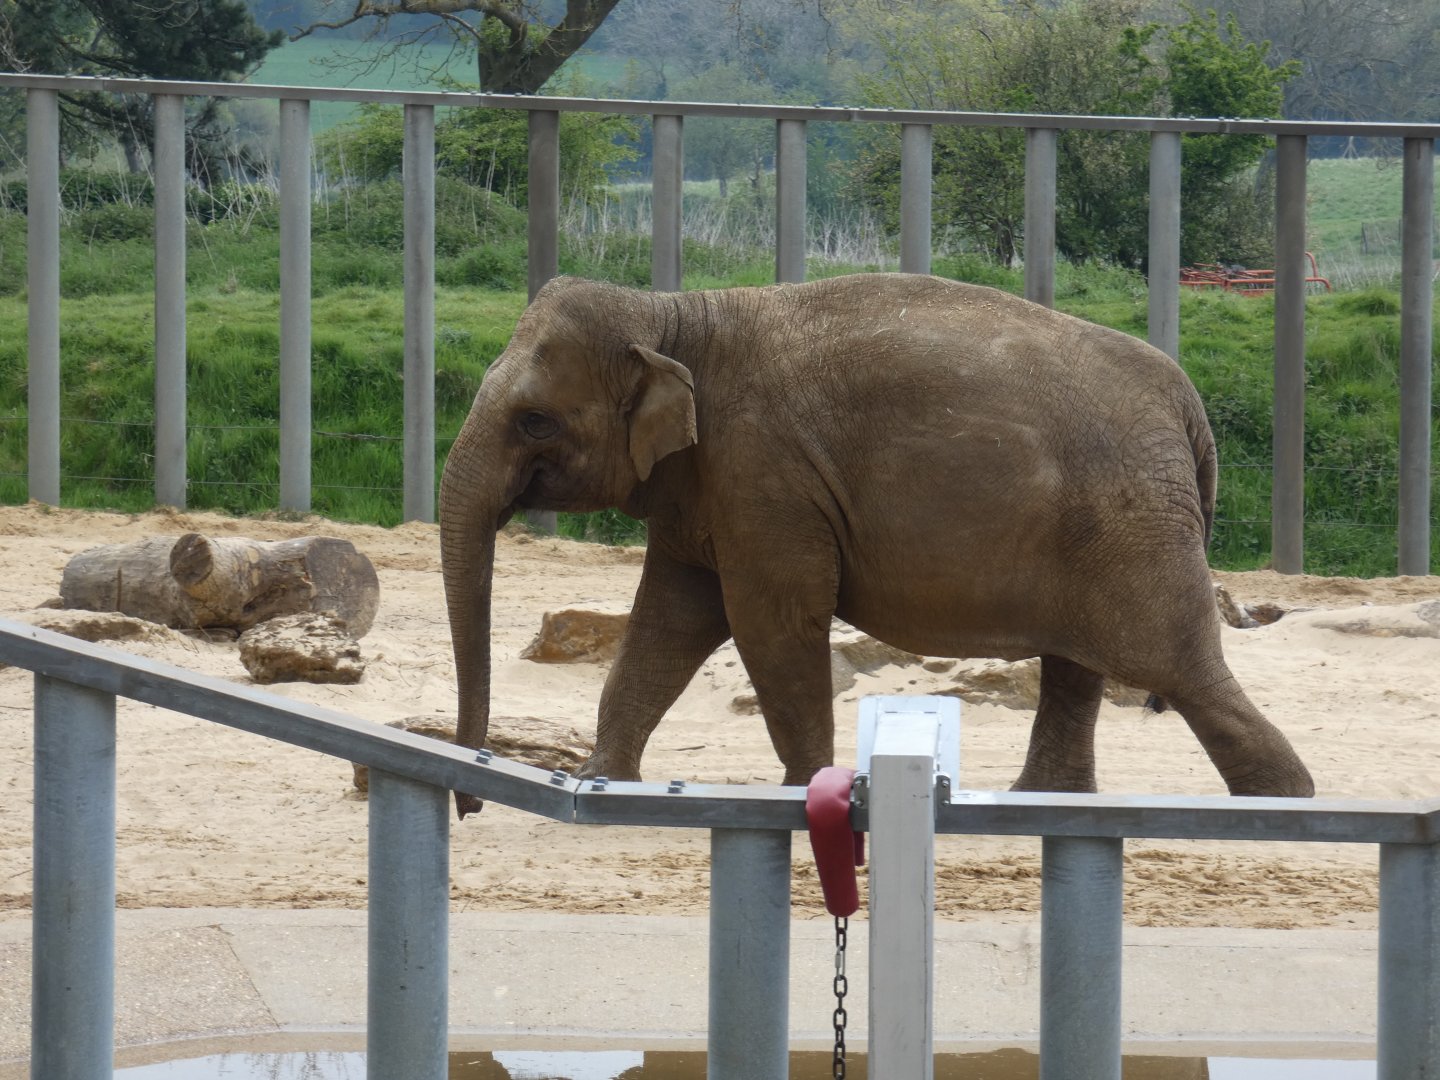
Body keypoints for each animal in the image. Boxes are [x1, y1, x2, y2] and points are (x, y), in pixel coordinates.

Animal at [439, 273, 1314, 818]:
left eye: (534, 421)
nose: (470, 799)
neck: (673, 312)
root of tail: (1188, 403)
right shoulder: (710, 483)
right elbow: (670, 620)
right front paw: (604, 786)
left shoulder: (765, 474)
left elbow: (771, 623)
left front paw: (803, 792)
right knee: (1080, 667)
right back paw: (1041, 802)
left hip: (1131, 525)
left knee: (1175, 666)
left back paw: (1286, 806)